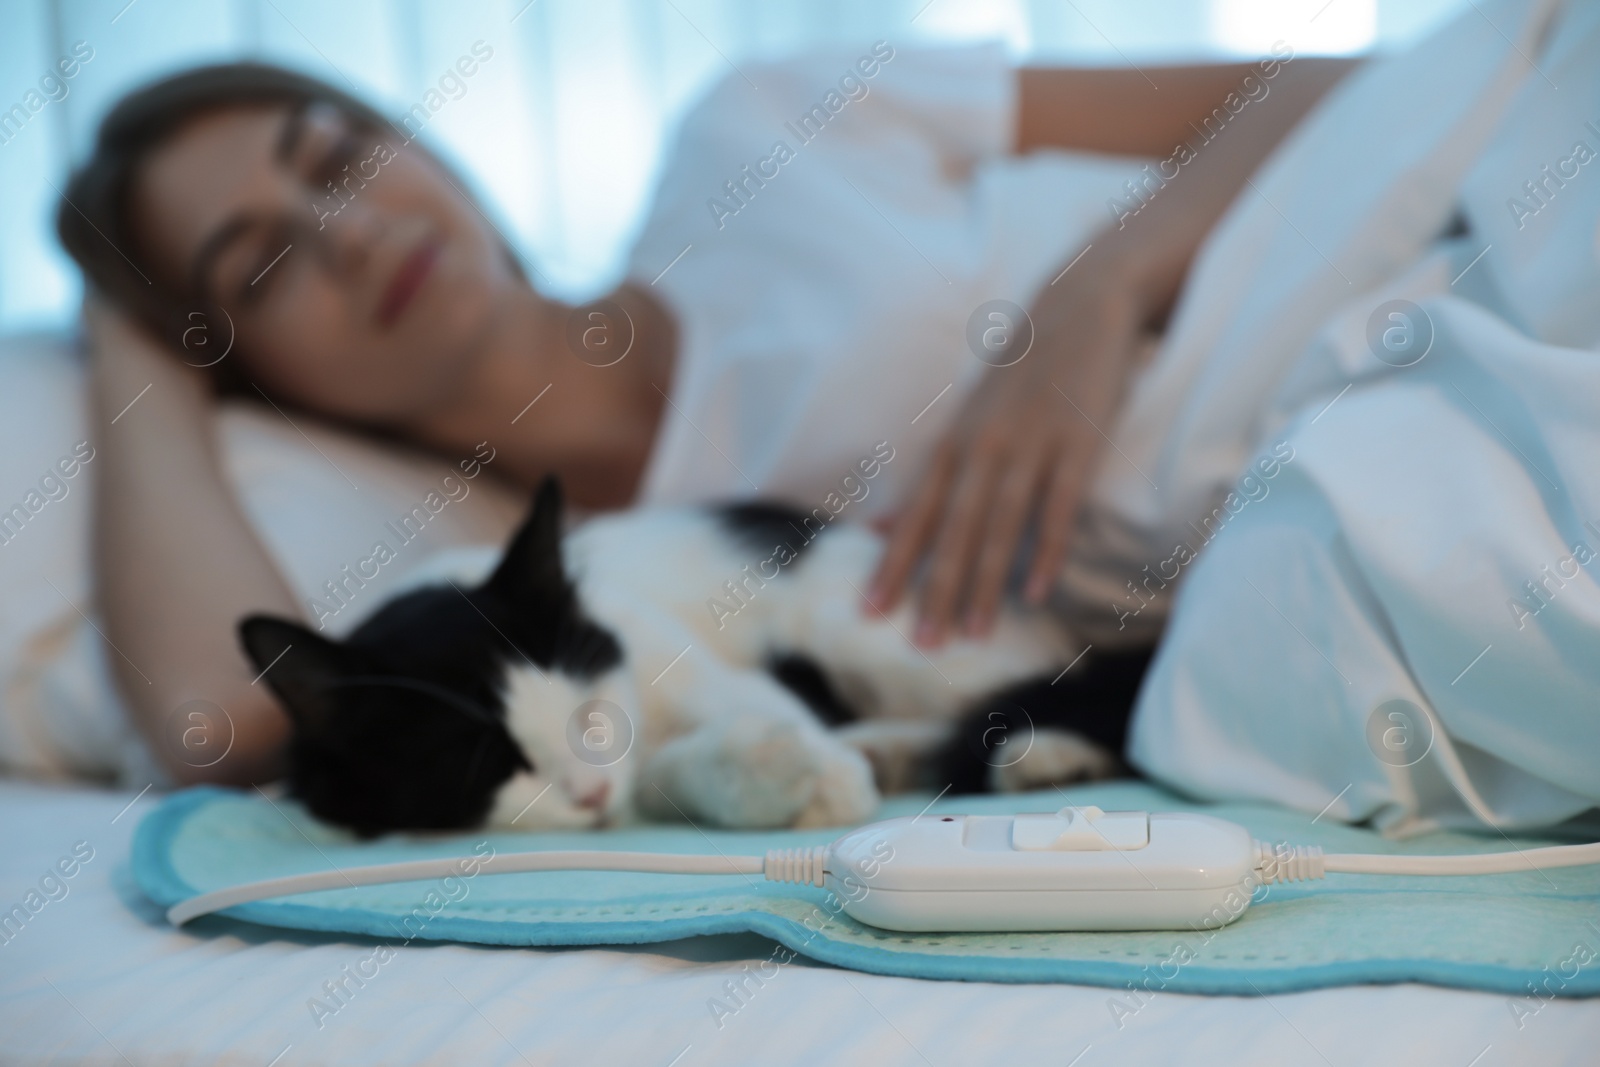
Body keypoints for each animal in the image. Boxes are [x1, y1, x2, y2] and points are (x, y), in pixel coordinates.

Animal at [240, 479, 1152, 838]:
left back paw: (1043, 755)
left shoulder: (683, 665)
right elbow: (672, 773)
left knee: (1066, 692)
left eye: (591, 718)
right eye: (485, 764)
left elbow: (745, 713)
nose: (591, 791)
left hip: (865, 632)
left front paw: (818, 776)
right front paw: (772, 776)